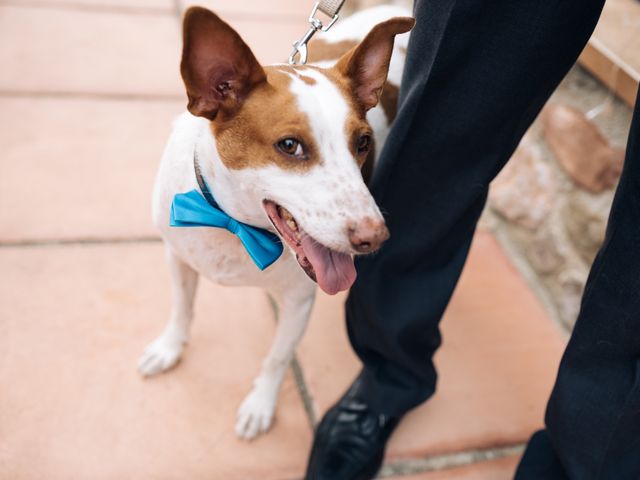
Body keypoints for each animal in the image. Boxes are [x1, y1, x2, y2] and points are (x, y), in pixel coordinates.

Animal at [138, 5, 412, 438]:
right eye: (289, 146)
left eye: (363, 143)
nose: (375, 236)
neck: (233, 225)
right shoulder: (178, 257)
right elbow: (182, 309)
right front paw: (170, 348)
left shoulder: (299, 302)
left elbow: (277, 358)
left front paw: (260, 405)